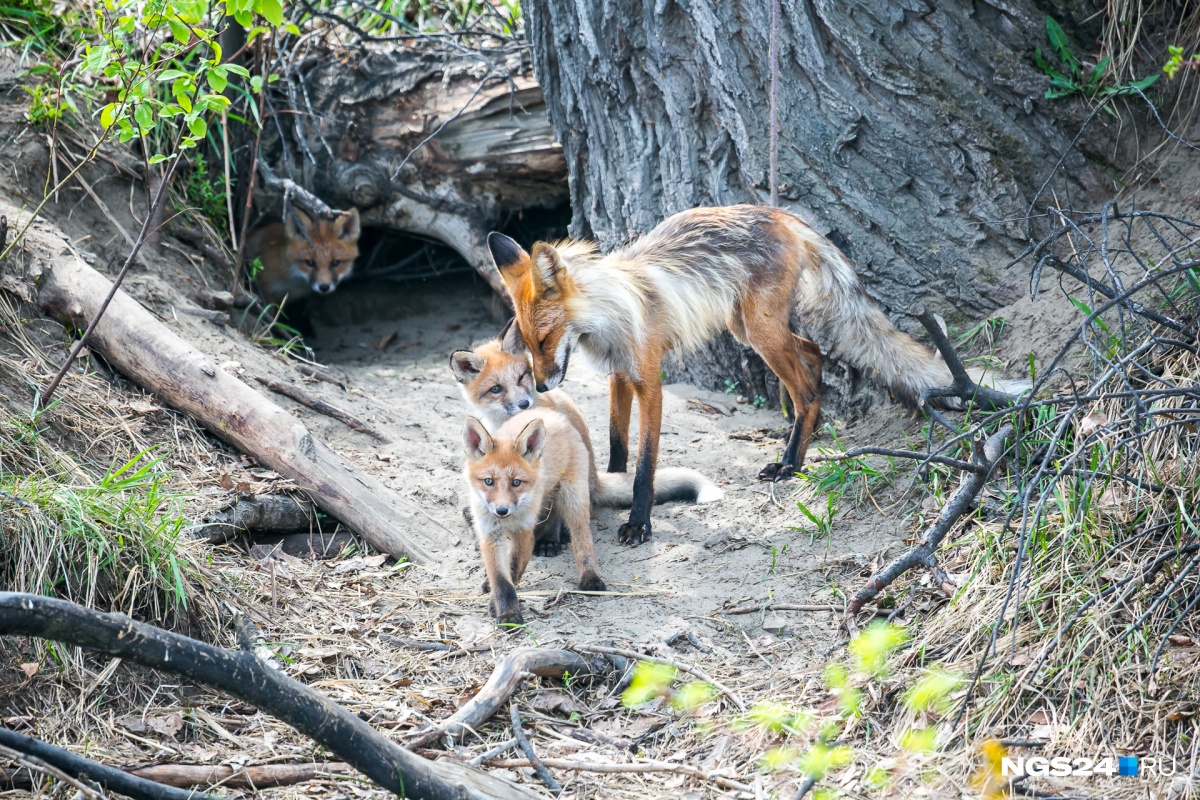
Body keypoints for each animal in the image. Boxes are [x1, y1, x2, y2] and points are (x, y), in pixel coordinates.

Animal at [487, 203, 1032, 546]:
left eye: (544, 340)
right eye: (526, 342)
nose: (540, 388)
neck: (611, 317)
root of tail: (783, 215)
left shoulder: (651, 381)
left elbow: (644, 466)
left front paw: (638, 522)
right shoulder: (619, 379)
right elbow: (618, 448)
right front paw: (607, 492)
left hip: (760, 332)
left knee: (810, 385)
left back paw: (790, 462)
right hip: (750, 327)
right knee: (813, 357)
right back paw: (794, 444)